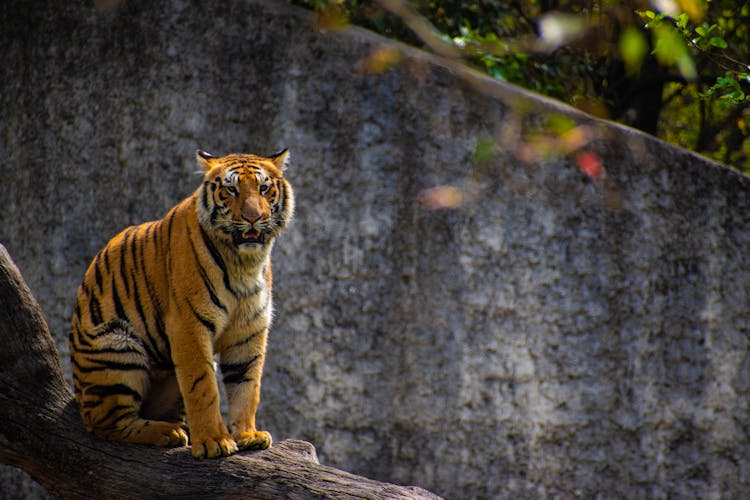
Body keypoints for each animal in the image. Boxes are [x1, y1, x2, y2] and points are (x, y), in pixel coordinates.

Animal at [69, 148, 294, 458]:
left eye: (263, 188)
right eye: (231, 190)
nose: (254, 217)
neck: (245, 262)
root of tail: (79, 395)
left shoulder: (249, 331)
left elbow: (247, 385)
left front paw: (249, 435)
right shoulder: (189, 325)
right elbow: (203, 386)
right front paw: (214, 441)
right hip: (116, 350)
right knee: (108, 423)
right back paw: (168, 432)